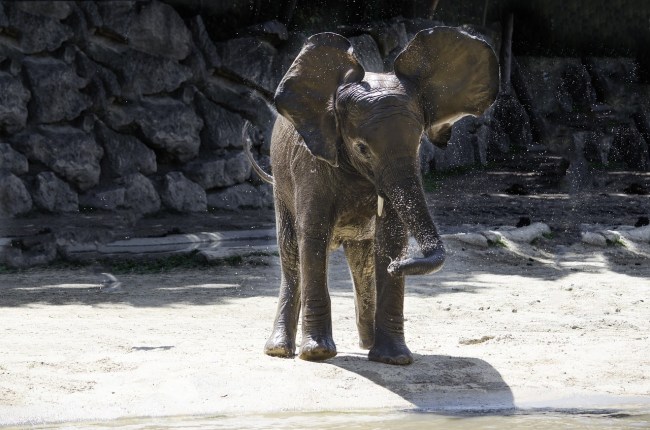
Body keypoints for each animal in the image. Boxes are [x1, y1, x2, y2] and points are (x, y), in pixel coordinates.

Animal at [248, 27, 499, 365]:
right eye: (362, 148)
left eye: (419, 144)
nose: (399, 266)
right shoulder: (310, 164)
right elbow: (312, 234)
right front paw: (318, 354)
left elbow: (390, 236)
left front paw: (394, 358)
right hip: (281, 184)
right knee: (290, 252)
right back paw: (279, 350)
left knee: (362, 261)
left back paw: (367, 344)